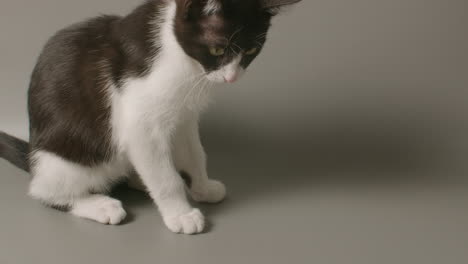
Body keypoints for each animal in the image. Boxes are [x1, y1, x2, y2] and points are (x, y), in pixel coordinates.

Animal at [0, 0, 304, 235]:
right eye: (218, 49)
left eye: (252, 51)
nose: (232, 77)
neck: (183, 60)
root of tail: (33, 156)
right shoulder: (140, 124)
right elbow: (166, 178)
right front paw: (181, 214)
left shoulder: (184, 117)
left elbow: (195, 154)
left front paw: (203, 188)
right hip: (65, 158)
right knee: (46, 191)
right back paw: (98, 204)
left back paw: (138, 180)